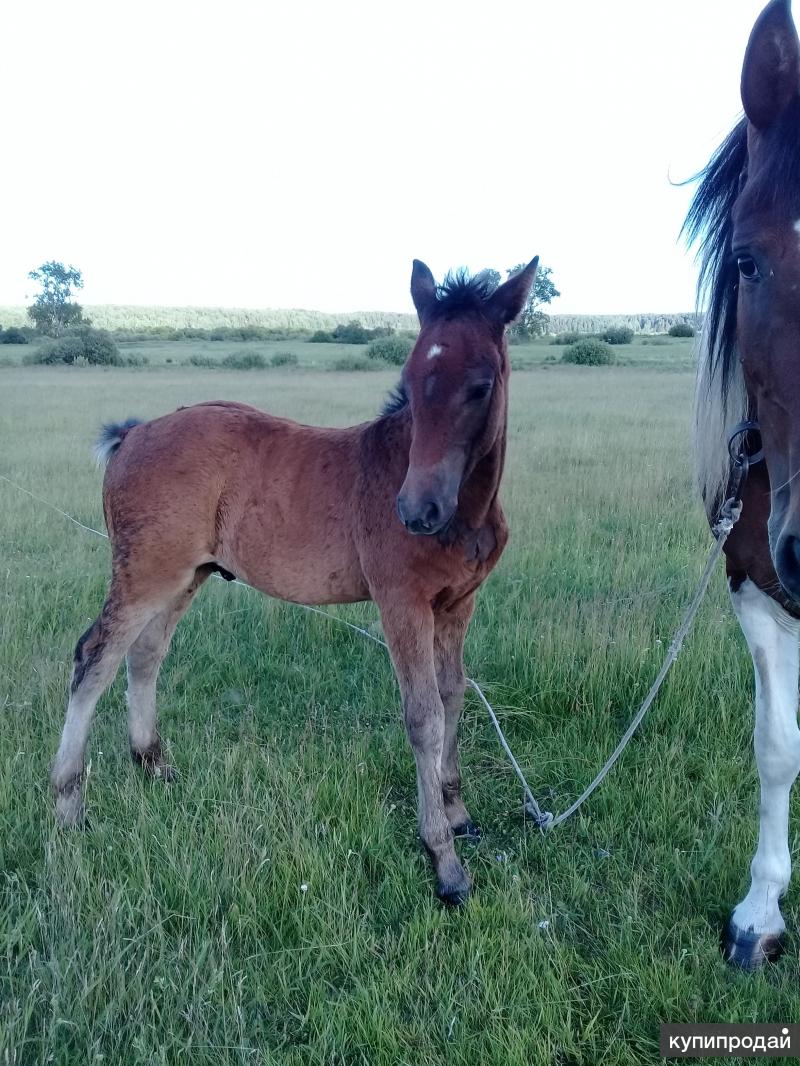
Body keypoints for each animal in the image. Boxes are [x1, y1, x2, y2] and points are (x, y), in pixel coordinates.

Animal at [48, 257, 539, 908]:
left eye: (480, 385)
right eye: (409, 379)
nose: (415, 511)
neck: (466, 510)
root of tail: (131, 435)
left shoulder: (458, 604)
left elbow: (454, 696)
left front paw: (458, 814)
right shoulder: (401, 604)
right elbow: (424, 715)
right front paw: (444, 861)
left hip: (185, 576)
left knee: (145, 655)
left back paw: (153, 764)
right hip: (145, 572)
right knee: (94, 658)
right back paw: (68, 804)